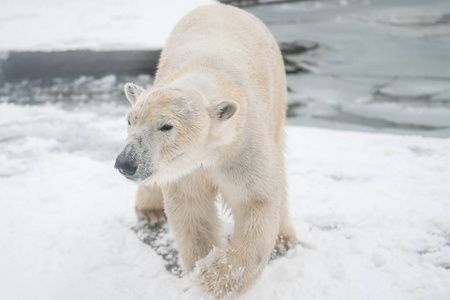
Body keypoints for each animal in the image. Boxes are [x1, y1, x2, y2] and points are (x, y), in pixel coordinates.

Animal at [116, 4, 298, 298]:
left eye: (166, 126)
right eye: (129, 120)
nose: (125, 163)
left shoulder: (242, 146)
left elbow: (257, 199)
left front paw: (215, 278)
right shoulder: (186, 168)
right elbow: (192, 211)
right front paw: (201, 269)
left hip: (277, 97)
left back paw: (284, 239)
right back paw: (150, 211)